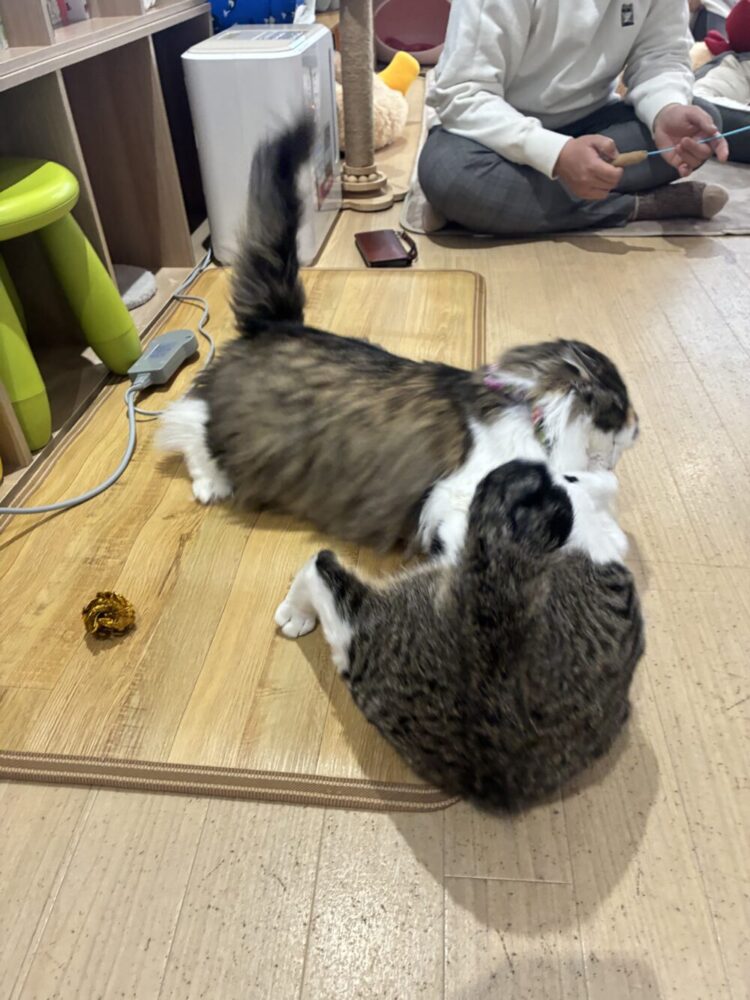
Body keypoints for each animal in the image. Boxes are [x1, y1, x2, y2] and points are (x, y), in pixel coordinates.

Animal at [156, 119, 639, 555]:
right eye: (622, 410)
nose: (638, 430)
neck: (534, 414)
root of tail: (279, 323)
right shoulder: (458, 498)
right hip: (232, 425)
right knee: (186, 421)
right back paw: (211, 482)